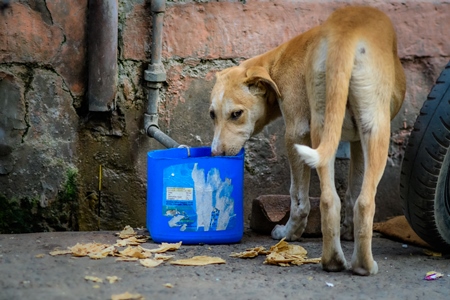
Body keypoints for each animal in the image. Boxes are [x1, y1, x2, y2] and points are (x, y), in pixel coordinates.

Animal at [209, 5, 406, 276]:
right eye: (212, 114)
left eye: (236, 114)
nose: (215, 154)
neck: (276, 62)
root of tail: (346, 33)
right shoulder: (302, 133)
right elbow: (306, 196)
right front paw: (292, 234)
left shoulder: (317, 135)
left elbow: (337, 194)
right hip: (371, 129)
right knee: (359, 201)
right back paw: (357, 265)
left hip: (333, 127)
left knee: (335, 200)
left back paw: (338, 261)